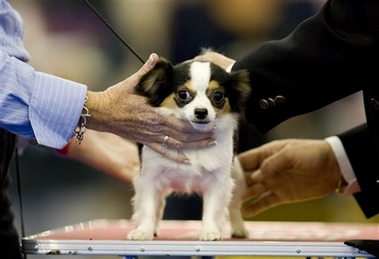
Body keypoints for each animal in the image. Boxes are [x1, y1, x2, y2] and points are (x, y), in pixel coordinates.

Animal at [127, 55, 252, 242]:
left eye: (218, 96)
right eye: (183, 94)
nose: (201, 112)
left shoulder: (218, 180)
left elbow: (212, 208)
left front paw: (210, 231)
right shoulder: (150, 176)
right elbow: (148, 206)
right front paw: (143, 231)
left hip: (236, 175)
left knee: (234, 205)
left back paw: (239, 229)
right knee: (159, 203)